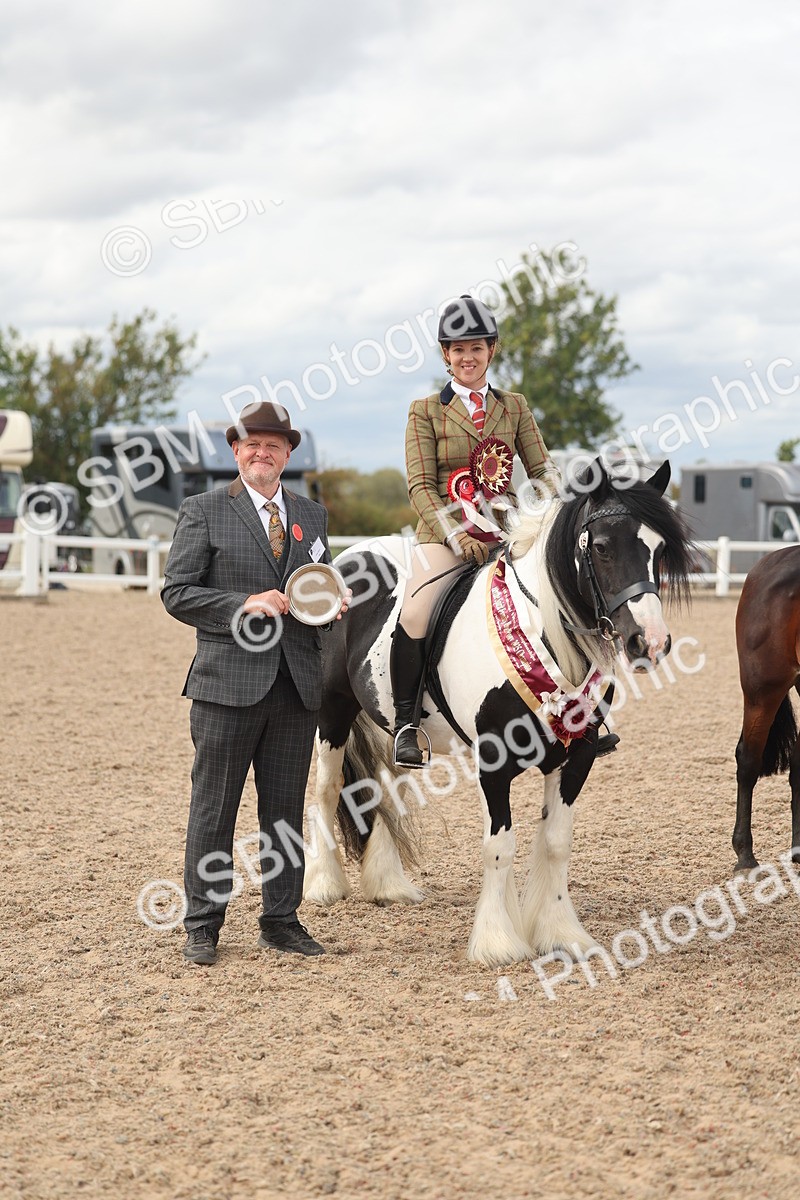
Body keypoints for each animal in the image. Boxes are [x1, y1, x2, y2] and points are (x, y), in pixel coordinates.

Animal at [304, 460, 693, 966]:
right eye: (602, 547)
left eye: (658, 549)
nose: (650, 642)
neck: (538, 627)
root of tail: (349, 557)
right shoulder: (493, 761)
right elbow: (499, 846)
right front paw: (497, 941)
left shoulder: (579, 757)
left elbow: (555, 843)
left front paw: (561, 934)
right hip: (333, 711)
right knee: (328, 789)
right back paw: (324, 885)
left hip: (391, 728)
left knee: (382, 790)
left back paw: (388, 885)